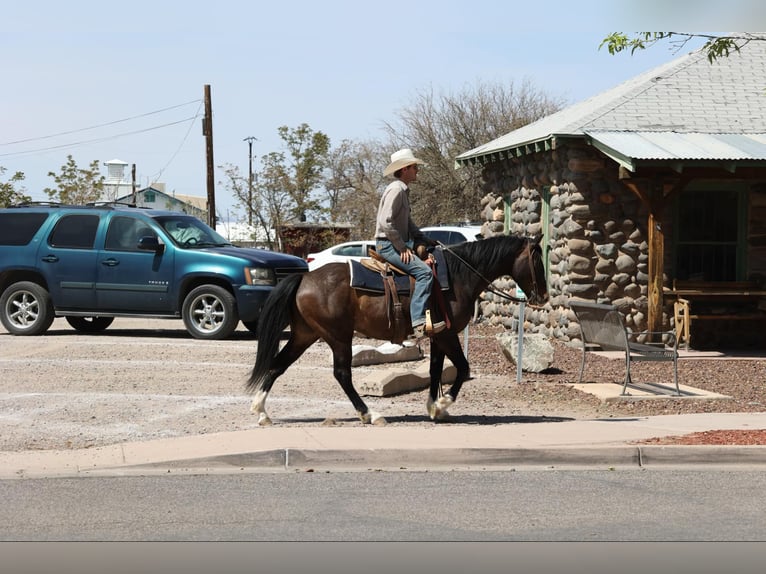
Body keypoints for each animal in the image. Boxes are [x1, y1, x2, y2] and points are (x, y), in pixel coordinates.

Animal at [247, 234, 548, 425]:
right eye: (537, 261)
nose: (543, 296)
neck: (459, 276)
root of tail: (304, 278)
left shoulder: (437, 335)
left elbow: (435, 370)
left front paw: (433, 408)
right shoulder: (448, 334)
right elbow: (462, 368)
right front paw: (443, 404)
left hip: (305, 334)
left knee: (277, 364)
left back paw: (261, 412)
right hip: (338, 336)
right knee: (342, 374)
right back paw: (369, 414)